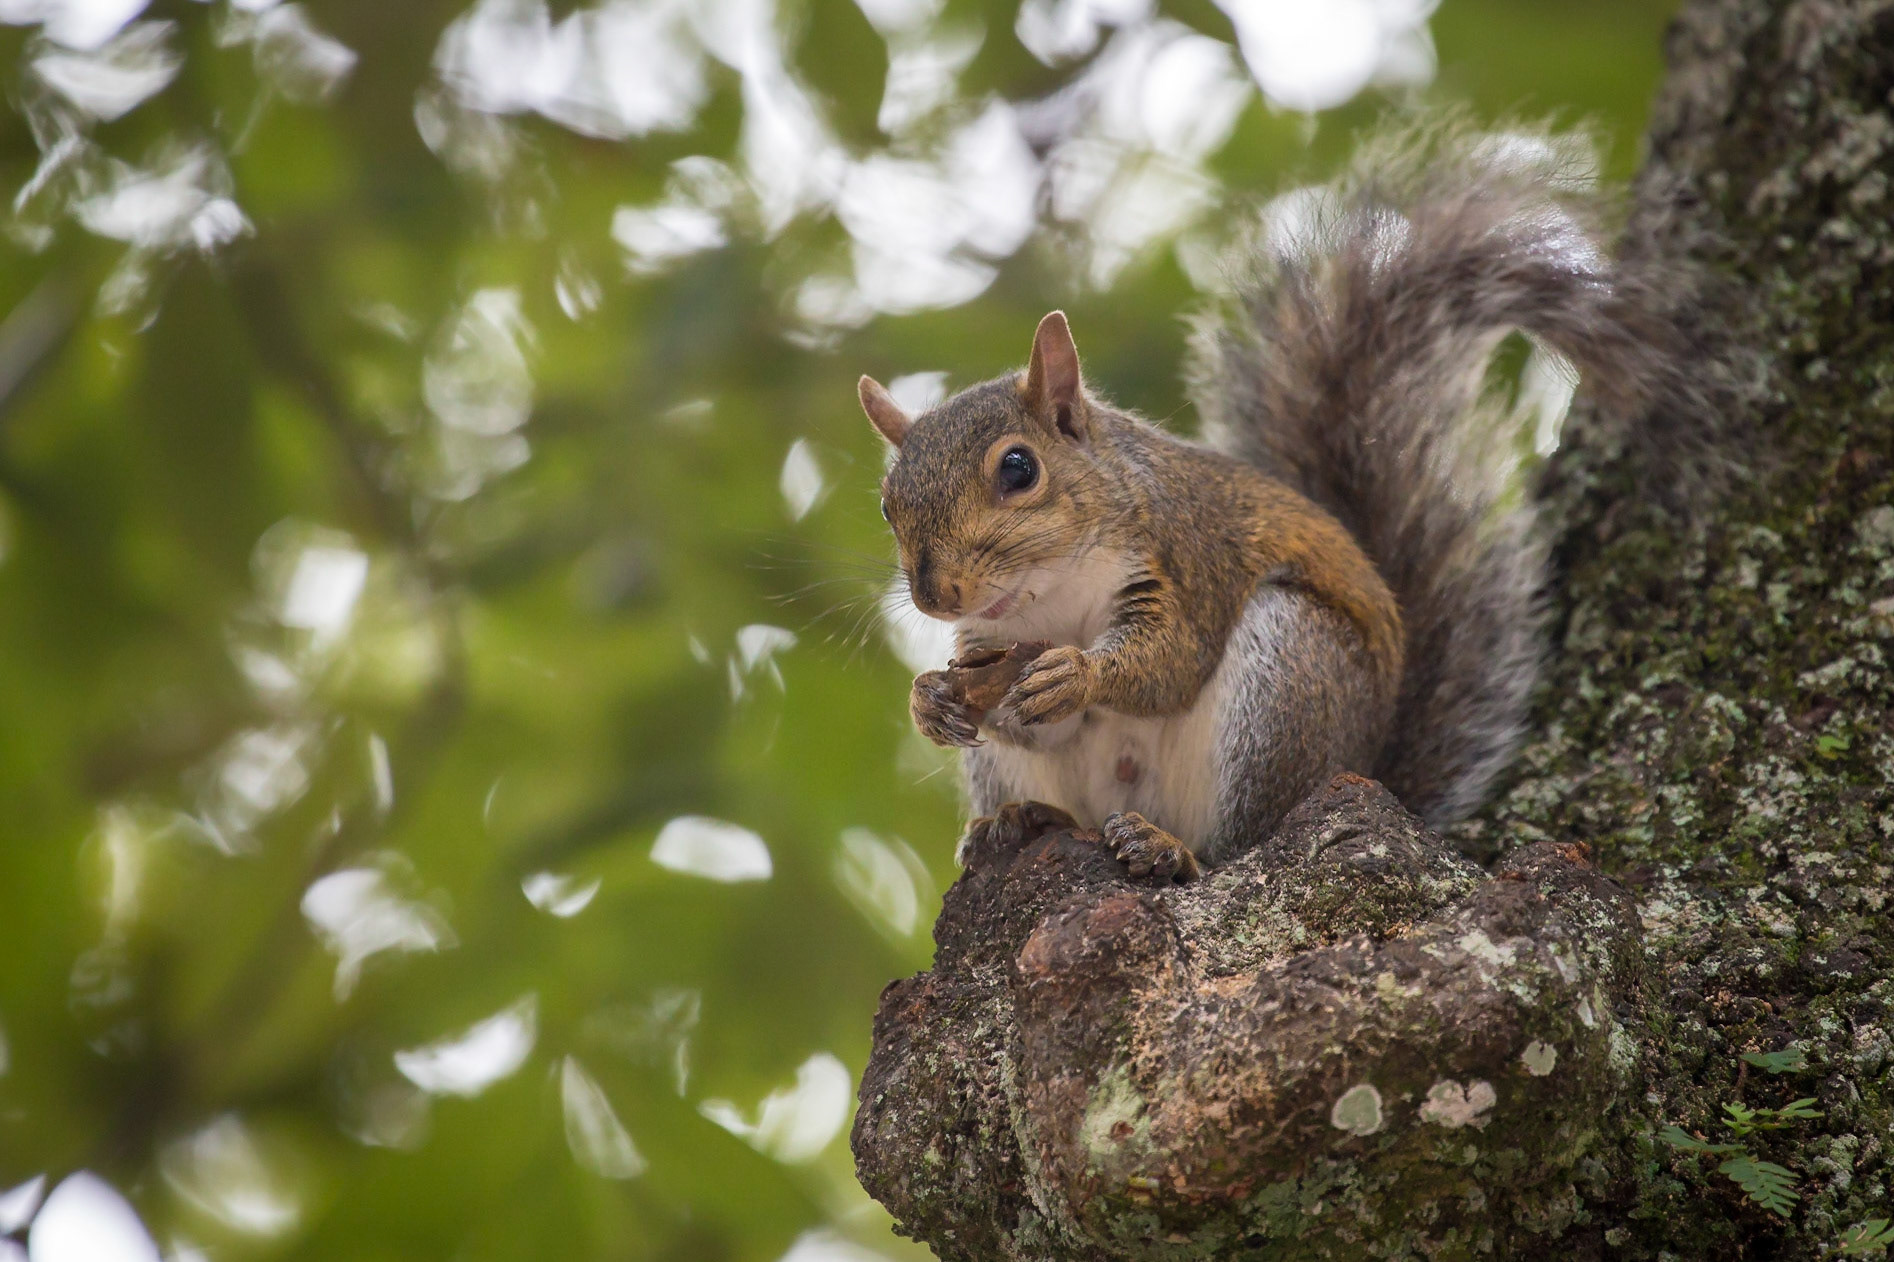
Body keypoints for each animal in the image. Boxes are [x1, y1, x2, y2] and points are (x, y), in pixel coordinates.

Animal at [857, 125, 1715, 882]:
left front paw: (1079, 674)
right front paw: (931, 700)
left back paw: (1173, 849)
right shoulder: (989, 644)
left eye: (1018, 468)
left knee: (1245, 841)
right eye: (888, 504)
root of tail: (1372, 770)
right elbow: (1018, 712)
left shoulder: (1189, 554)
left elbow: (1170, 661)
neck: (1051, 592)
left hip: (1287, 681)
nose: (936, 594)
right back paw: (1016, 822)